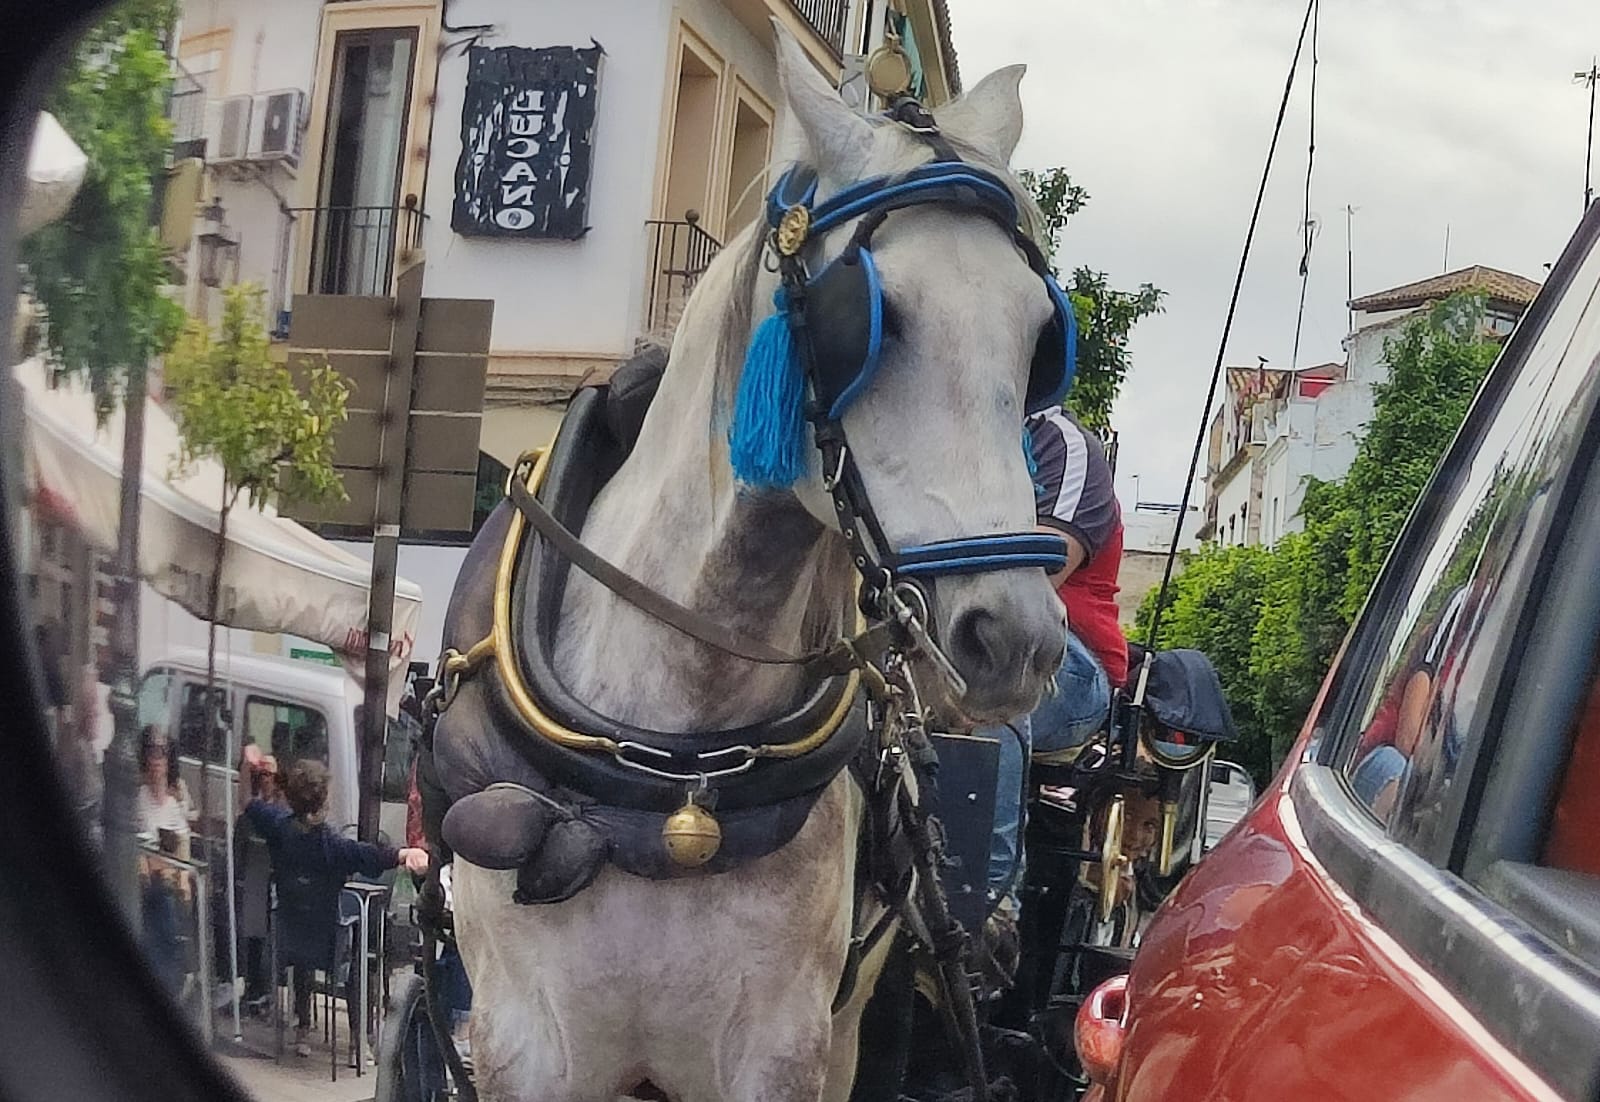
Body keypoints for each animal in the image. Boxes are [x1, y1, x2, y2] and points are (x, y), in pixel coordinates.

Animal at [434, 28, 1068, 1102]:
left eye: (1039, 339)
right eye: (875, 319)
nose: (1016, 639)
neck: (677, 777)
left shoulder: (782, 1051)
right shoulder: (522, 1045)